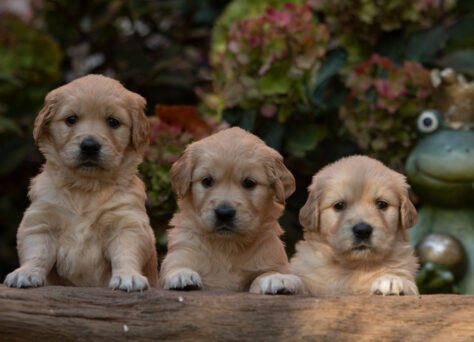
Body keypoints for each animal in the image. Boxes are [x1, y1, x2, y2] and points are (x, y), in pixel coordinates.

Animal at [3, 75, 158, 292]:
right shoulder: (41, 221)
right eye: (71, 119)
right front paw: (25, 273)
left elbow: (126, 251)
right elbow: (36, 251)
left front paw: (129, 276)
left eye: (113, 122)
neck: (86, 188)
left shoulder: (127, 223)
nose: (90, 146)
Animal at [163, 127, 296, 292]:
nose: (224, 213)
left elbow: (269, 272)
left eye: (249, 183)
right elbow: (177, 265)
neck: (227, 245)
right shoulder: (182, 251)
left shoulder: (273, 259)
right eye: (207, 181)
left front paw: (276, 277)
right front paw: (182, 274)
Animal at [256, 156, 418, 296]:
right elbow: (303, 282)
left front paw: (392, 279)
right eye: (339, 205)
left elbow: (407, 284)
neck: (353, 268)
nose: (362, 230)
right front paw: (280, 278)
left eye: (382, 204)